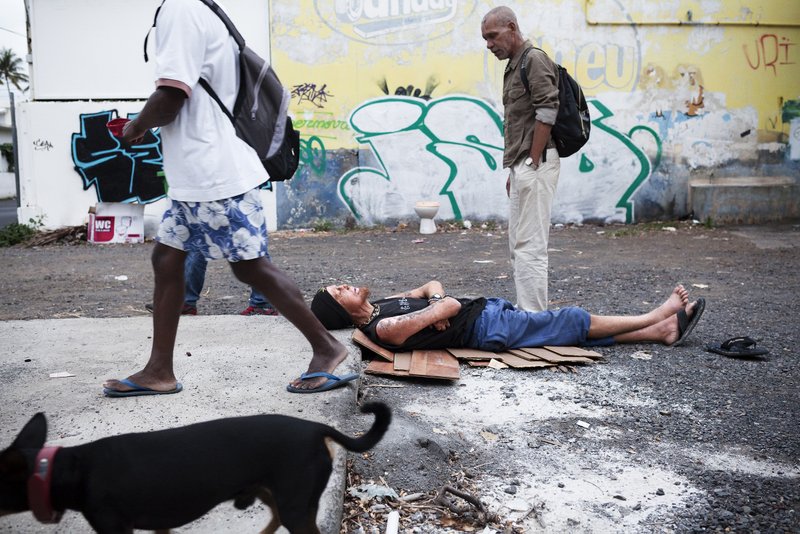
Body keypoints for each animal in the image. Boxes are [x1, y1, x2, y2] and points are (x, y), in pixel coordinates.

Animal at [0, 404, 388, 532]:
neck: (70, 469)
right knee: (276, 518)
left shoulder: (114, 527)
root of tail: (317, 429)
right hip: (275, 493)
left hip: (293, 501)